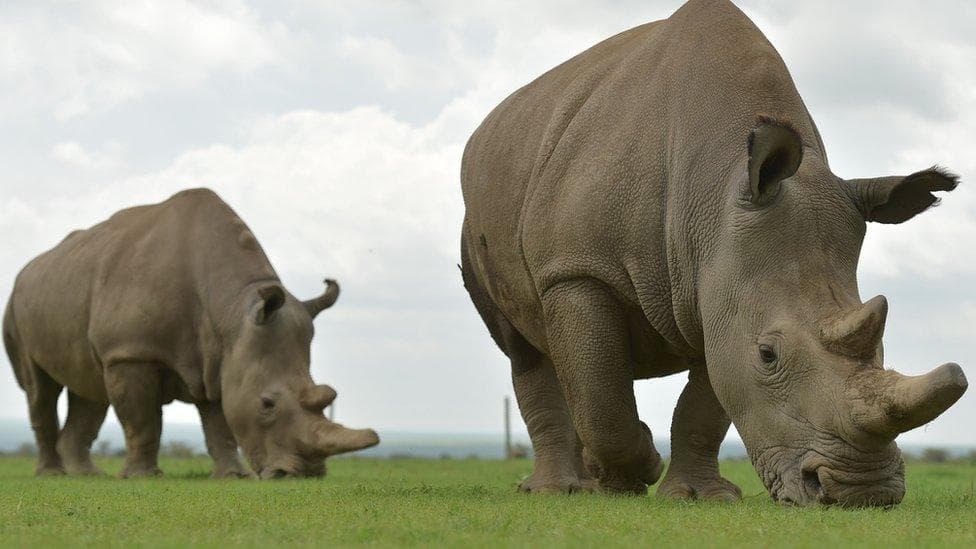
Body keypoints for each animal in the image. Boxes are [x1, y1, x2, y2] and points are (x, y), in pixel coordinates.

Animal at [3, 188, 379, 479]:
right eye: (267, 404)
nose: (303, 475)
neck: (231, 309)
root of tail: (28, 269)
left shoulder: (218, 357)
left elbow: (220, 422)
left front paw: (233, 476)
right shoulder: (132, 352)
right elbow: (142, 420)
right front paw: (142, 478)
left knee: (89, 389)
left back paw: (87, 475)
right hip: (16, 306)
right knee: (40, 391)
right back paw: (52, 474)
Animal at [460, 0, 967, 506]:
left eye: (883, 347)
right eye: (768, 355)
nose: (863, 493)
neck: (715, 187)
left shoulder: (720, 284)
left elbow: (703, 406)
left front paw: (698, 496)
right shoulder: (576, 269)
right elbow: (602, 394)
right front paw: (634, 472)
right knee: (528, 351)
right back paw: (556, 490)